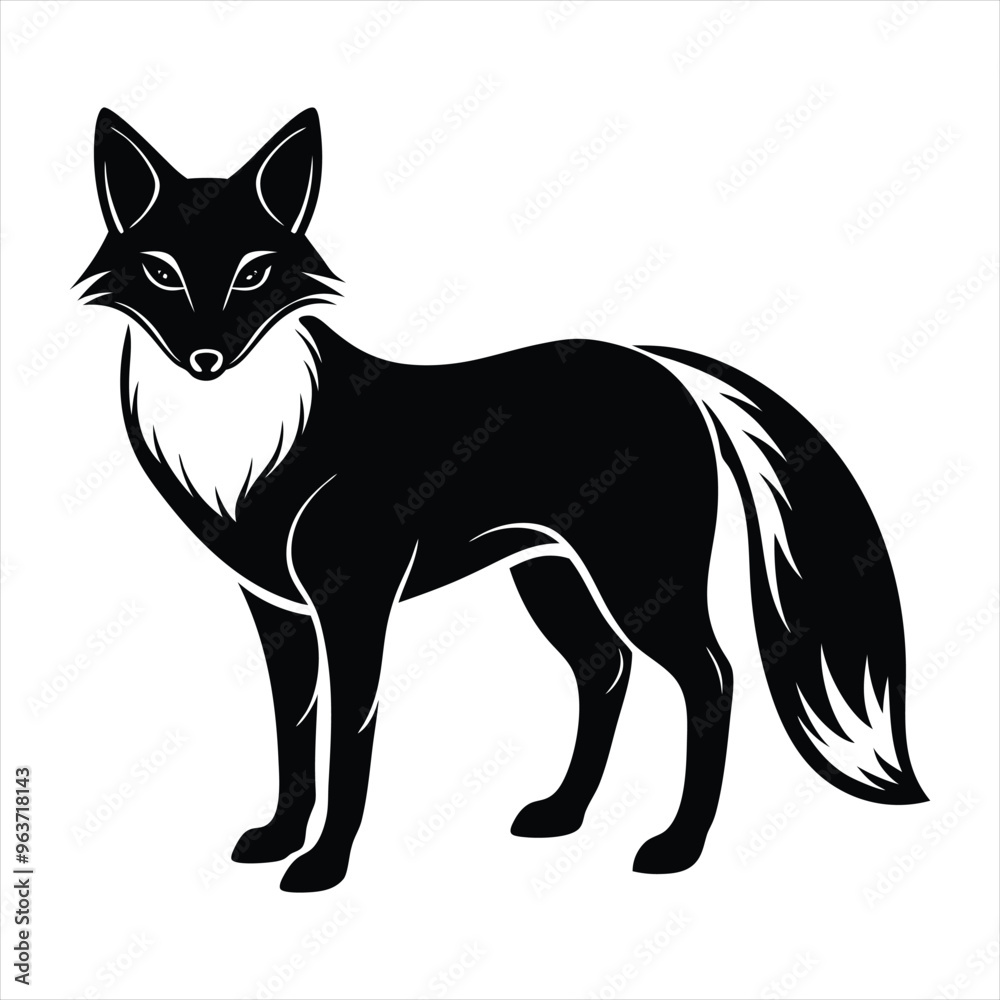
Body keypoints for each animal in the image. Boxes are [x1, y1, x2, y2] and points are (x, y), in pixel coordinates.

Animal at [78, 107, 926, 893]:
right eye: (161, 273)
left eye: (252, 274)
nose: (206, 358)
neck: (252, 440)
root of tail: (664, 367)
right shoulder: (276, 608)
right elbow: (295, 733)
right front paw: (279, 837)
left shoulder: (353, 601)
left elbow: (349, 741)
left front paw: (322, 865)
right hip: (550, 575)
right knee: (605, 668)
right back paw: (563, 813)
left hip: (639, 578)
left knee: (710, 677)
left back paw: (678, 847)